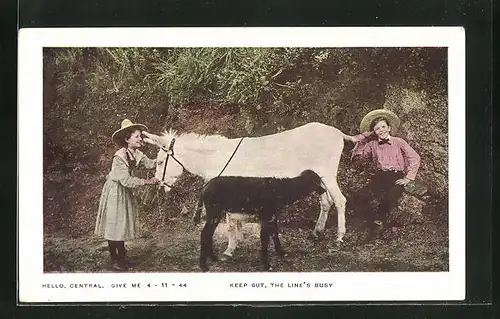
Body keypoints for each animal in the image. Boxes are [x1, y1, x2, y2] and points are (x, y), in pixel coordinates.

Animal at [143, 122, 348, 258]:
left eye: (160, 162)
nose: (159, 185)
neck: (216, 157)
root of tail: (338, 132)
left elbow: (230, 223)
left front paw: (229, 249)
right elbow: (236, 221)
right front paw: (238, 242)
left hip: (328, 175)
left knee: (340, 201)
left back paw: (339, 238)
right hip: (319, 180)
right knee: (326, 202)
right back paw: (316, 233)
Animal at [193, 170, 326, 272]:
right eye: (315, 181)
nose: (324, 191)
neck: (279, 190)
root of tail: (205, 187)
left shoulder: (272, 217)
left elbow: (275, 235)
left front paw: (281, 253)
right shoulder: (266, 218)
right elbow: (265, 240)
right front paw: (267, 265)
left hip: (217, 213)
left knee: (208, 234)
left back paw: (213, 258)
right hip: (214, 212)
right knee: (205, 234)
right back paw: (203, 266)